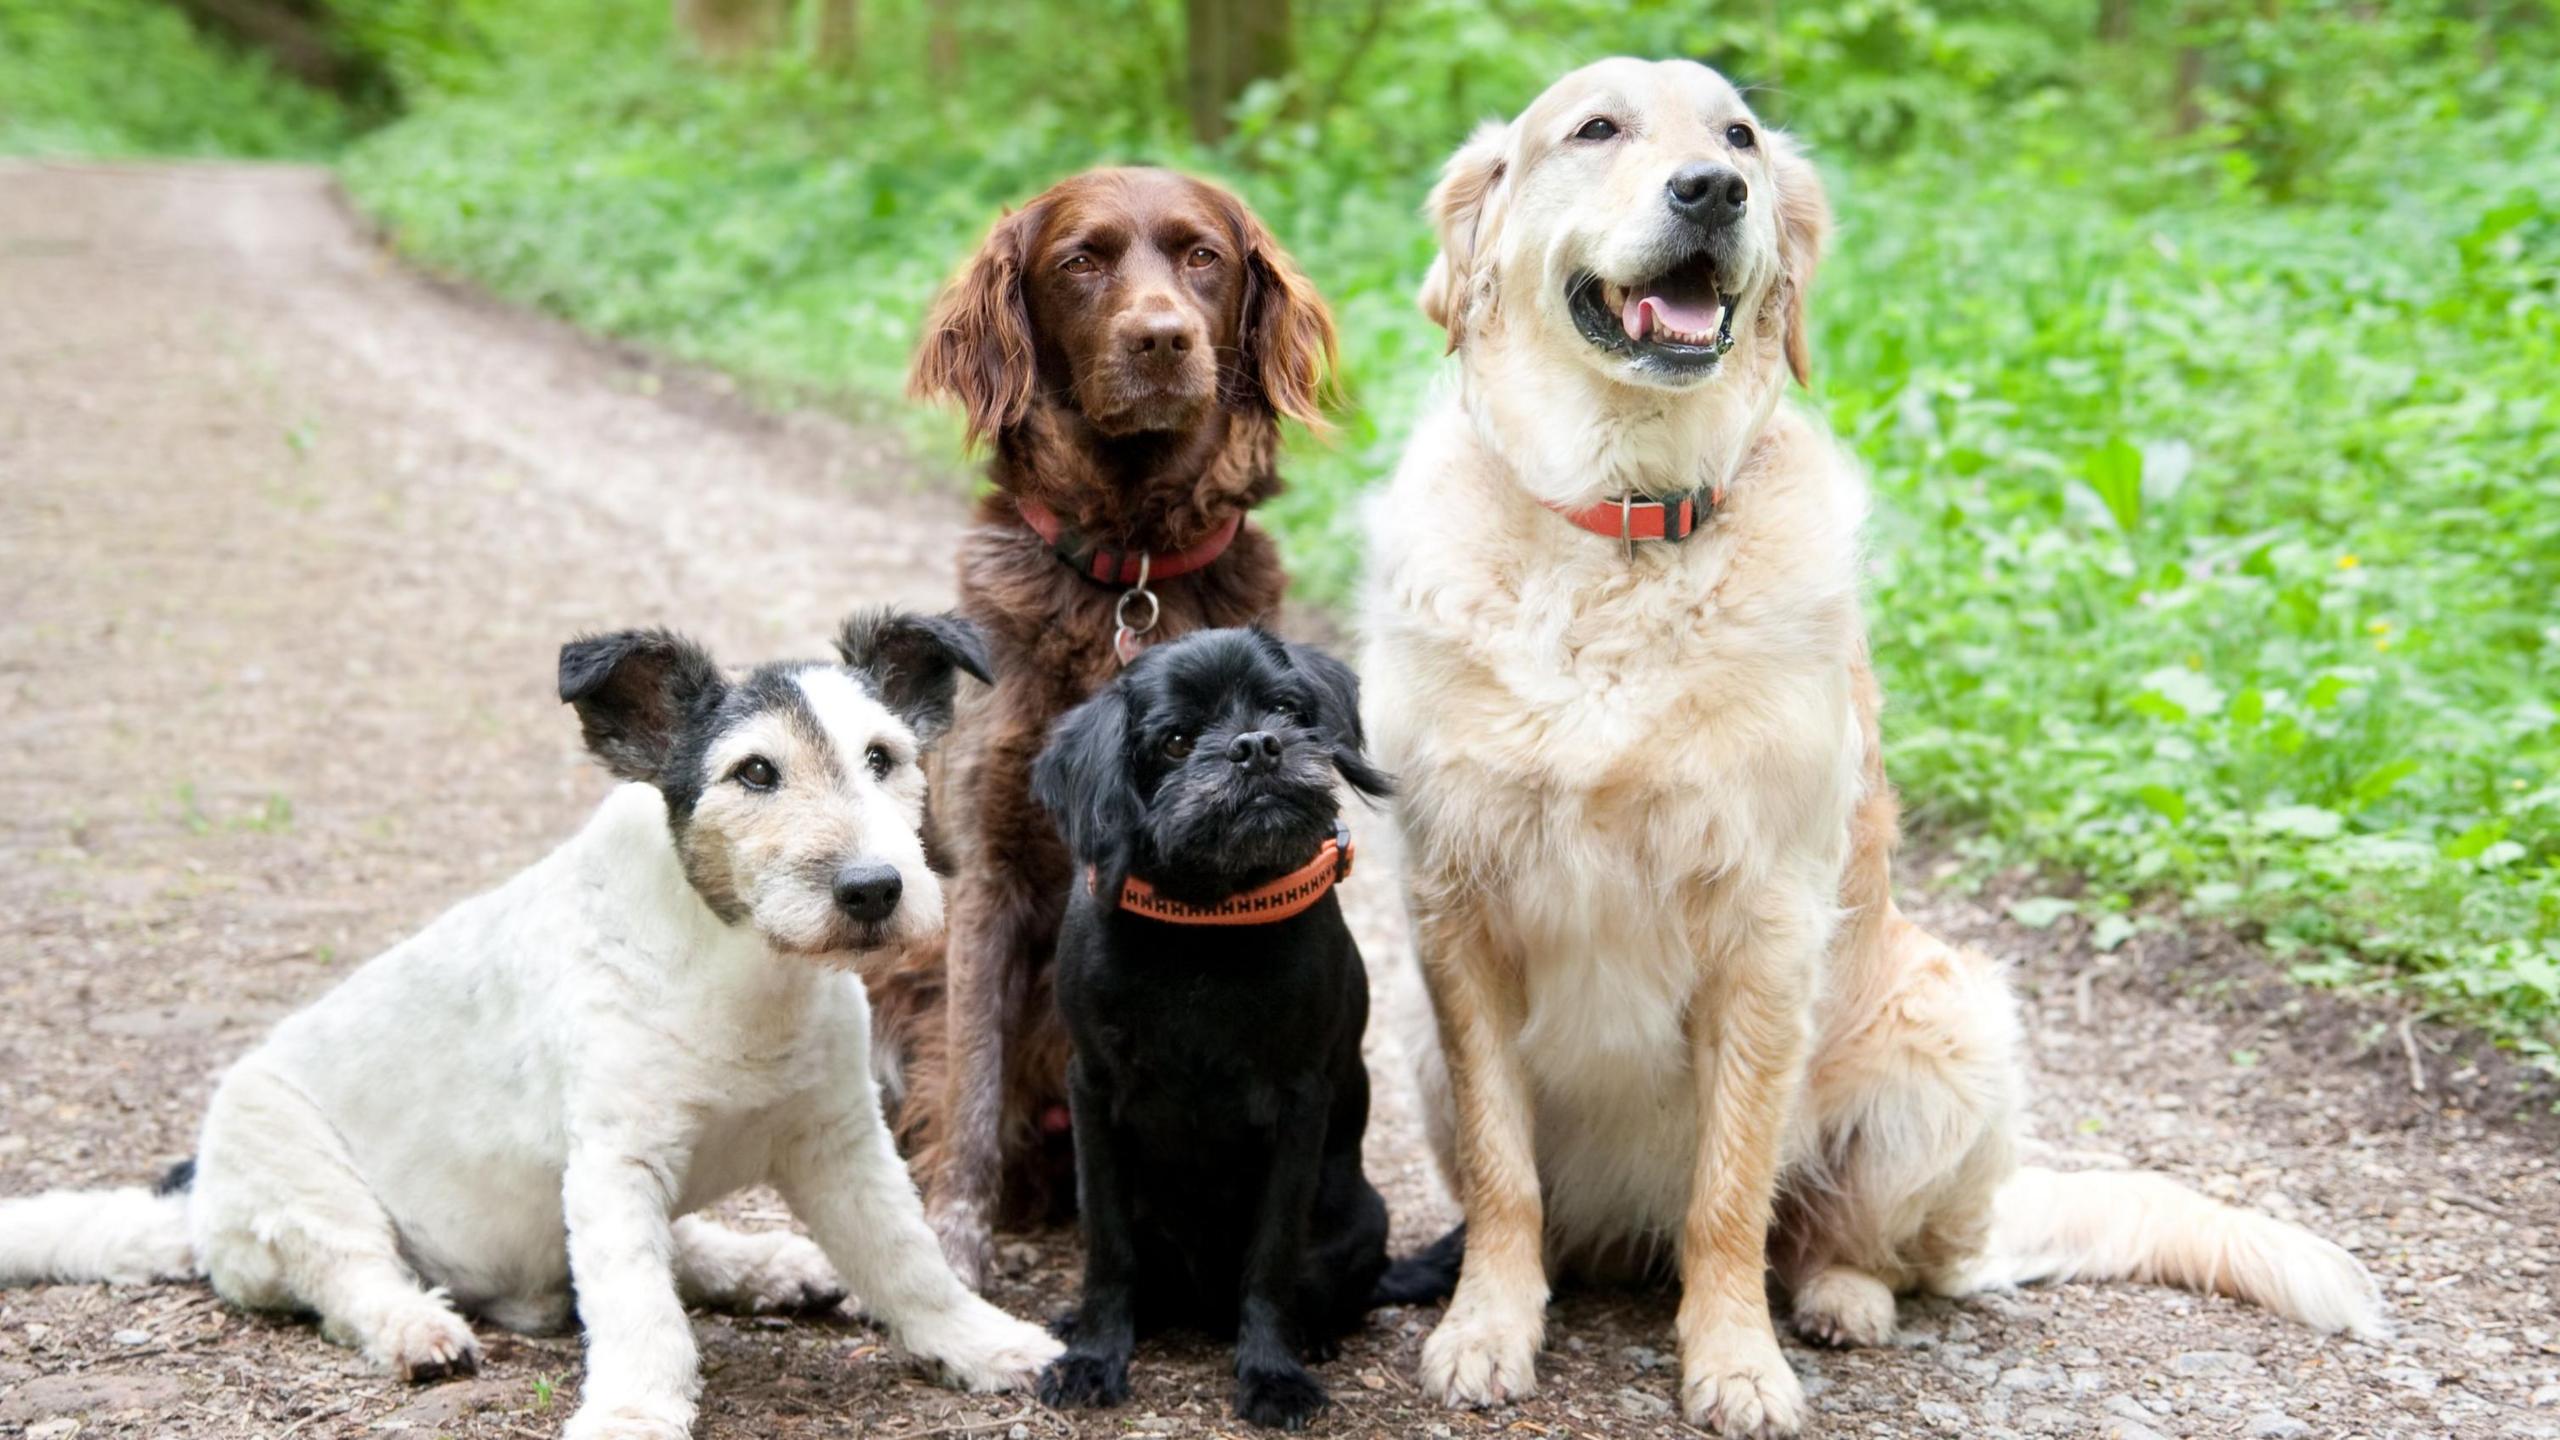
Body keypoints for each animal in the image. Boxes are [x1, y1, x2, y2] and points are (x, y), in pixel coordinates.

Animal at [0, 609, 1059, 1434]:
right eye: (754, 774)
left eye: (884, 758)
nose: (875, 891)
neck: (742, 972)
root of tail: (193, 1202)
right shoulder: (616, 1164)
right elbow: (639, 1313)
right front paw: (633, 1415)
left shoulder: (842, 1143)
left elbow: (912, 1263)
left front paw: (988, 1345)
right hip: (295, 1171)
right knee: (353, 1278)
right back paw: (420, 1330)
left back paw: (769, 1263)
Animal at [865, 165, 1341, 1276]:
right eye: (1081, 262)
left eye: (1202, 256)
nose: (1162, 339)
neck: (1129, 570)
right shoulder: (985, 870)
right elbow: (974, 1082)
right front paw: (956, 1248)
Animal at [1024, 625, 1402, 1424]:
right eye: (1174, 741)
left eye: (1286, 707)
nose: (1256, 746)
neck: (1207, 918)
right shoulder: (1092, 1091)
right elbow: (1108, 1246)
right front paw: (1094, 1356)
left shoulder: (1299, 1104)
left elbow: (1272, 1258)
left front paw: (1272, 1374)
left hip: (1366, 1218)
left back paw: (1312, 1335)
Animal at [1372, 58, 2385, 1434]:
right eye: (1595, 129)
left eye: (1738, 135)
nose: (1713, 190)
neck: (1625, 522)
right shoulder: (1454, 913)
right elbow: (1501, 1173)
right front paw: (1487, 1326)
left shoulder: (1767, 924)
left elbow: (1731, 1191)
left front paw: (1735, 1362)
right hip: (1425, 1051)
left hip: (1951, 1024)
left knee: (1866, 1248)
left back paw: (1840, 1300)